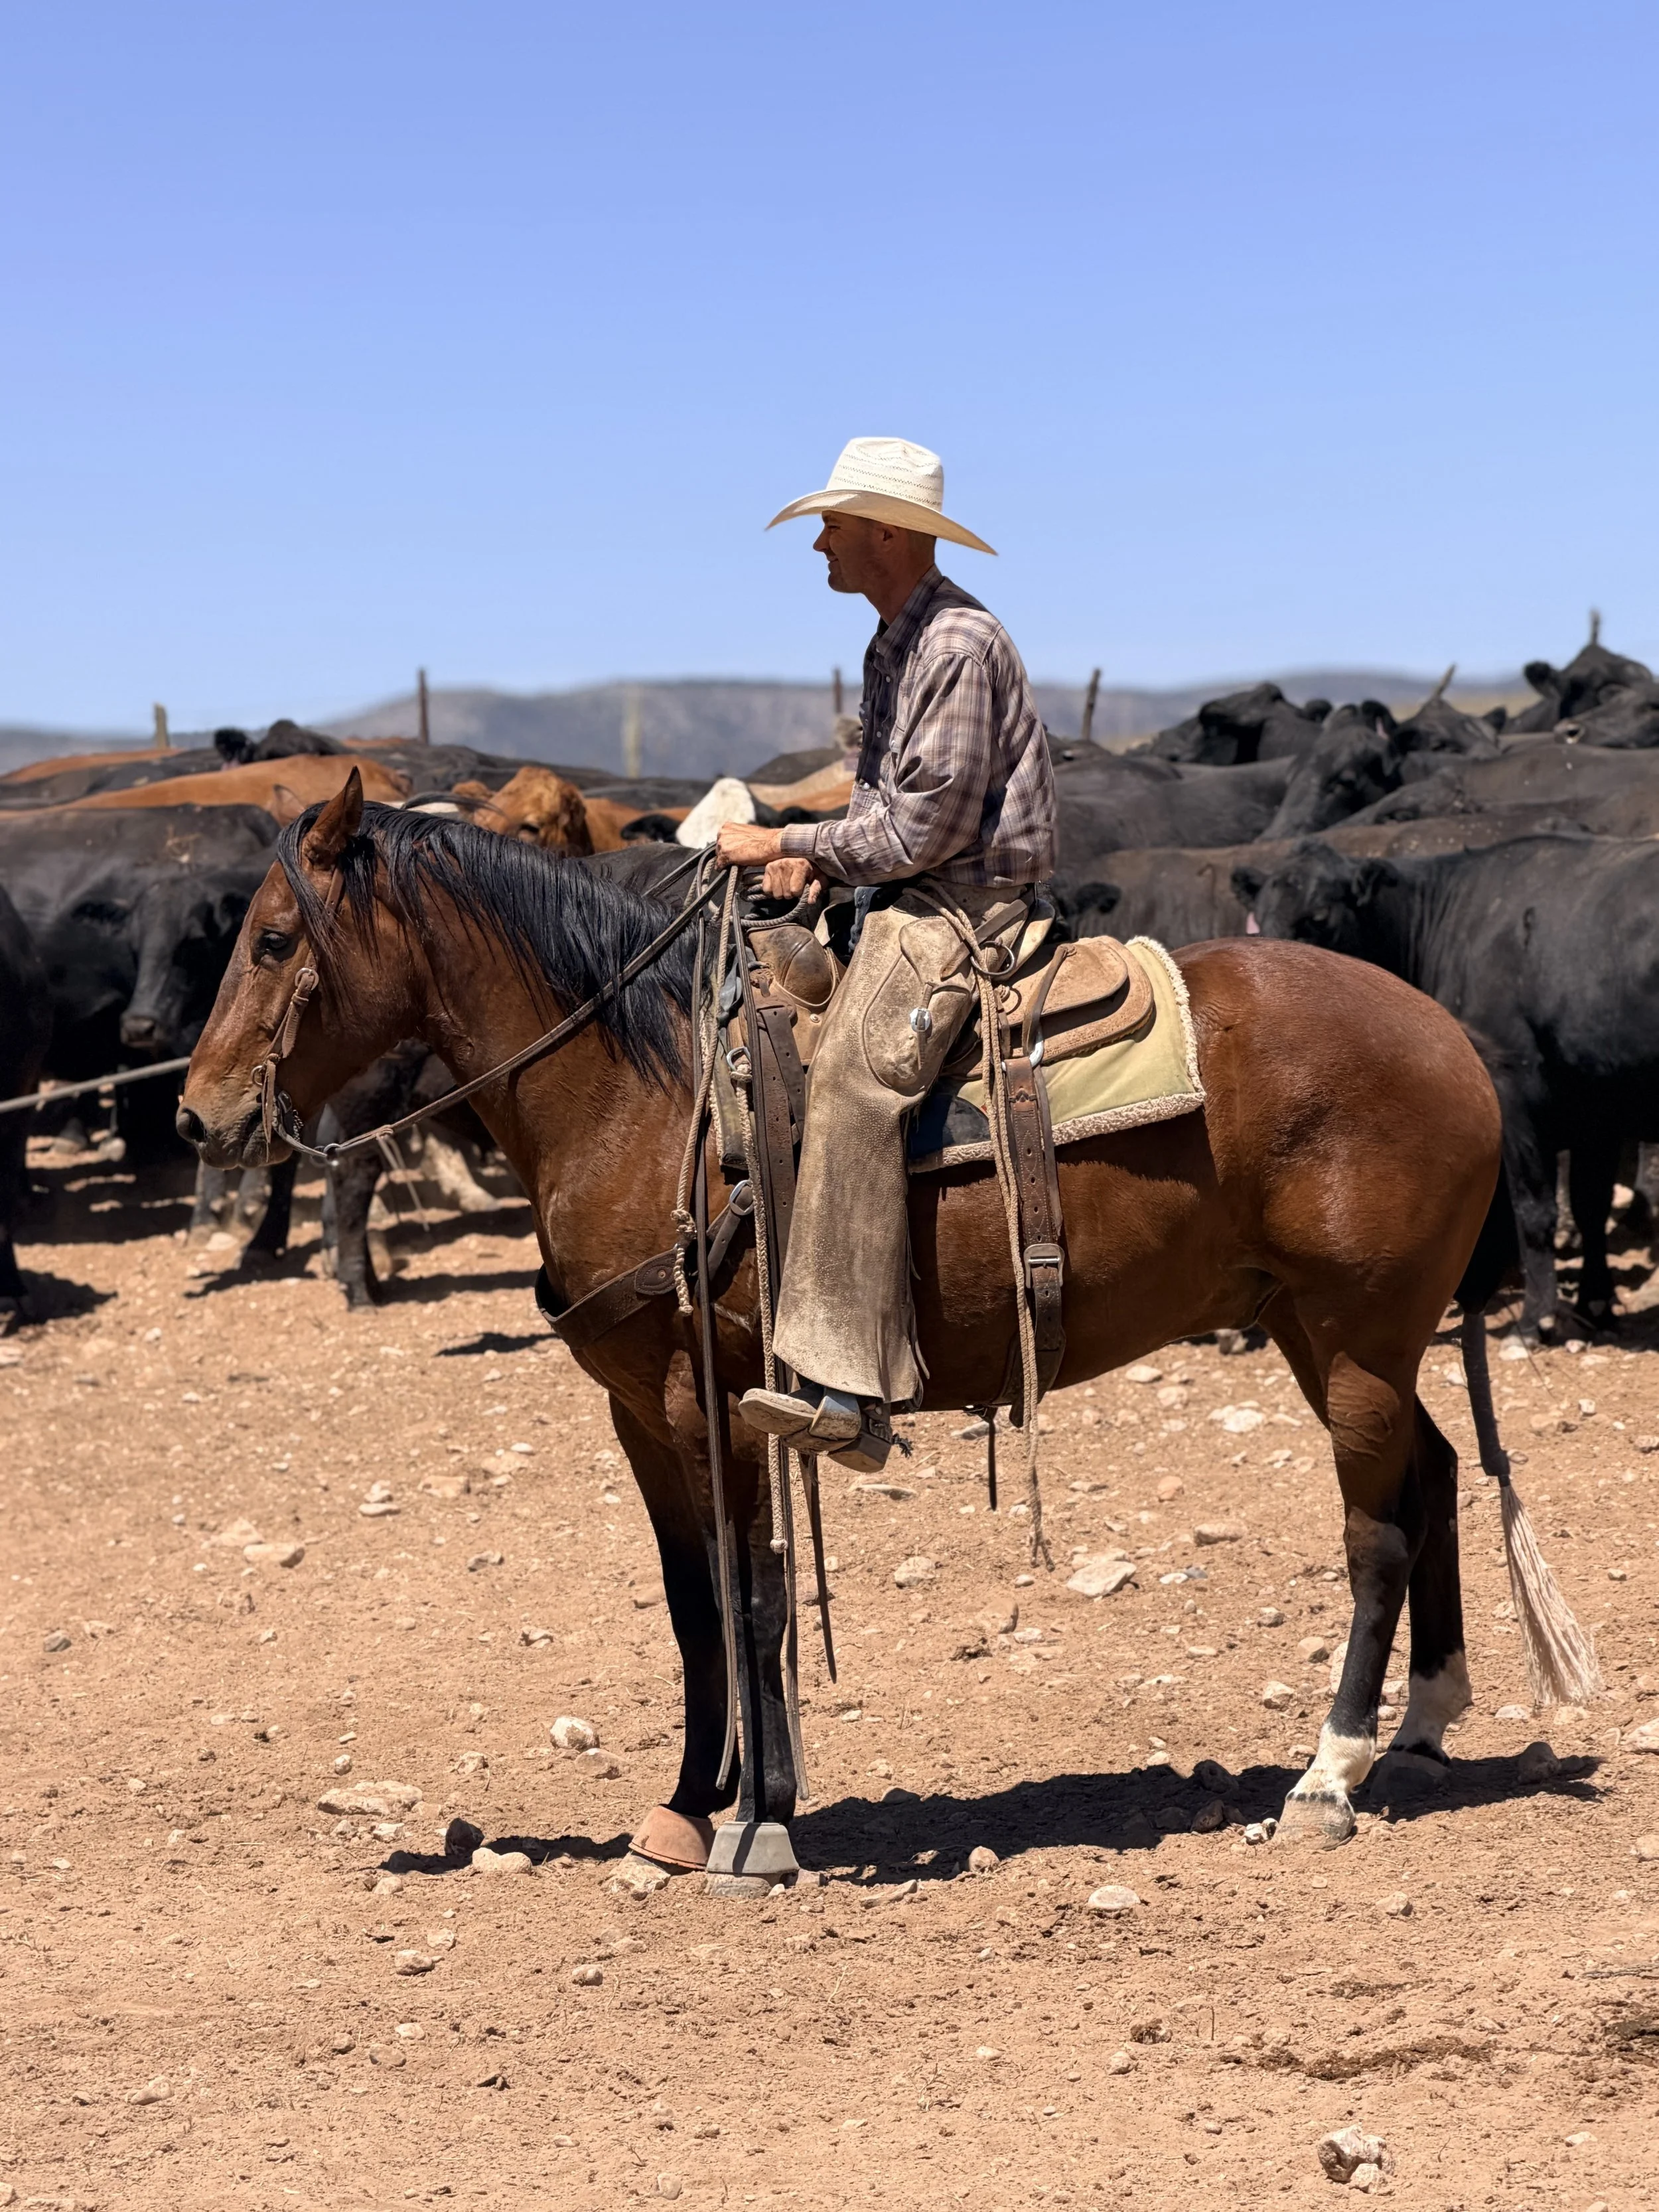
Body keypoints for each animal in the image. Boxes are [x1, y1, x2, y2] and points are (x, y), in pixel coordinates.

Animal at [177, 770, 1542, 1867]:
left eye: (276, 937)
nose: (201, 1114)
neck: (641, 1093)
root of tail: (1452, 1034)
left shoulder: (713, 1401)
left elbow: (749, 1599)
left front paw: (749, 1820)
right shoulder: (641, 1415)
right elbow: (698, 1605)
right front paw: (703, 1804)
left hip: (1357, 1331)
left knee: (1375, 1532)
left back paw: (1328, 1772)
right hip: (1323, 1331)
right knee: (1432, 1472)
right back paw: (1422, 1725)